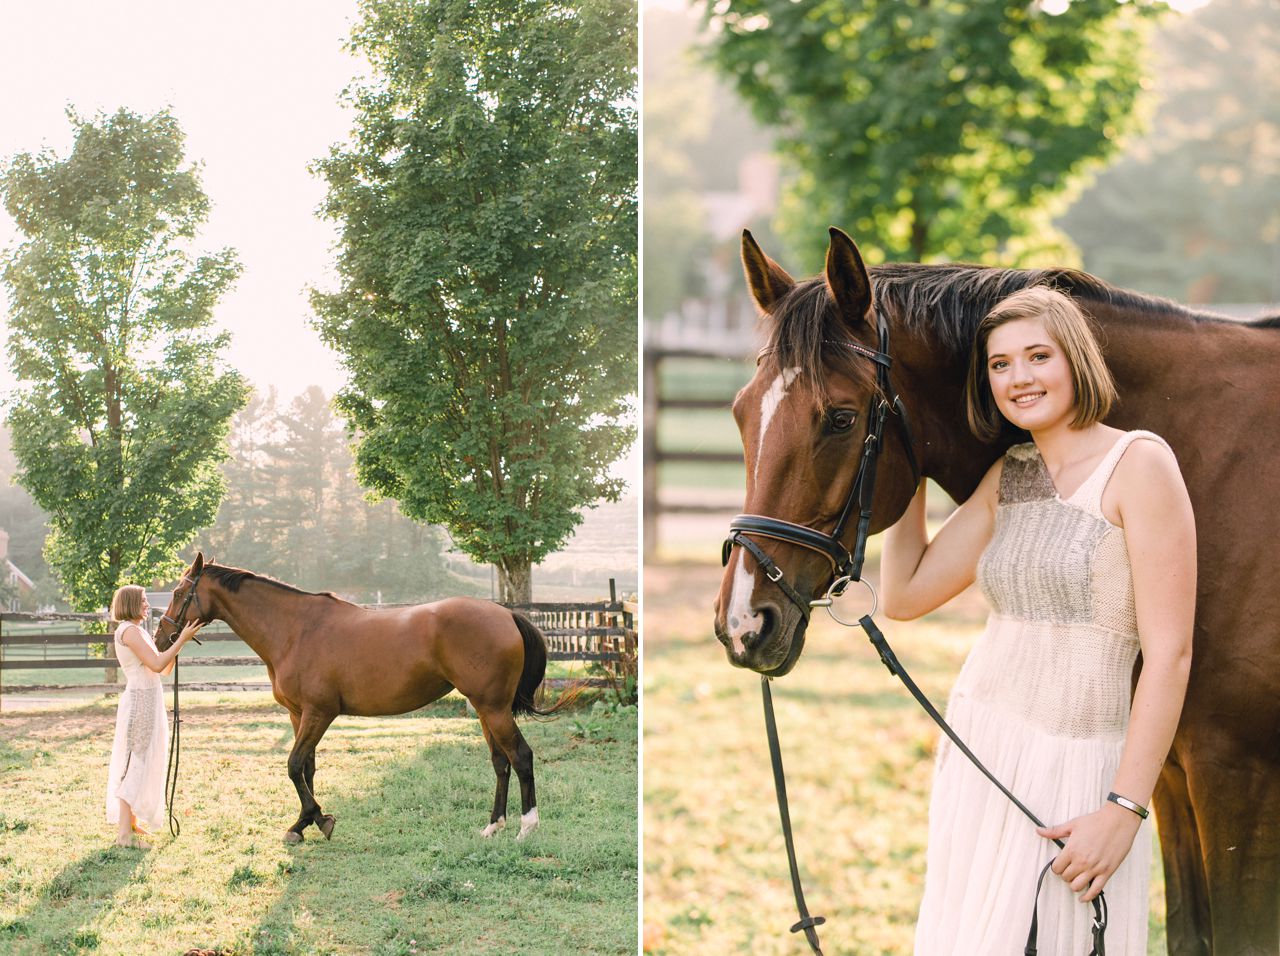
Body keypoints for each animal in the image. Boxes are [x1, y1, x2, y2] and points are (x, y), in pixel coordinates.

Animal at [155, 552, 562, 844]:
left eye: (177, 593)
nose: (161, 639)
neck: (296, 630)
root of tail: (506, 615)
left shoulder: (319, 713)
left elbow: (293, 765)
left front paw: (317, 820)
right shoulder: (299, 715)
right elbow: (307, 768)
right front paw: (305, 823)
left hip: (494, 709)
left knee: (520, 757)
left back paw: (527, 827)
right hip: (484, 709)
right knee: (500, 762)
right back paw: (493, 826)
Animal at [713, 227, 1279, 955]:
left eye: (839, 418)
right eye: (740, 413)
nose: (742, 623)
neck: (1203, 472)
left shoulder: (1236, 776)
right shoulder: (1171, 775)